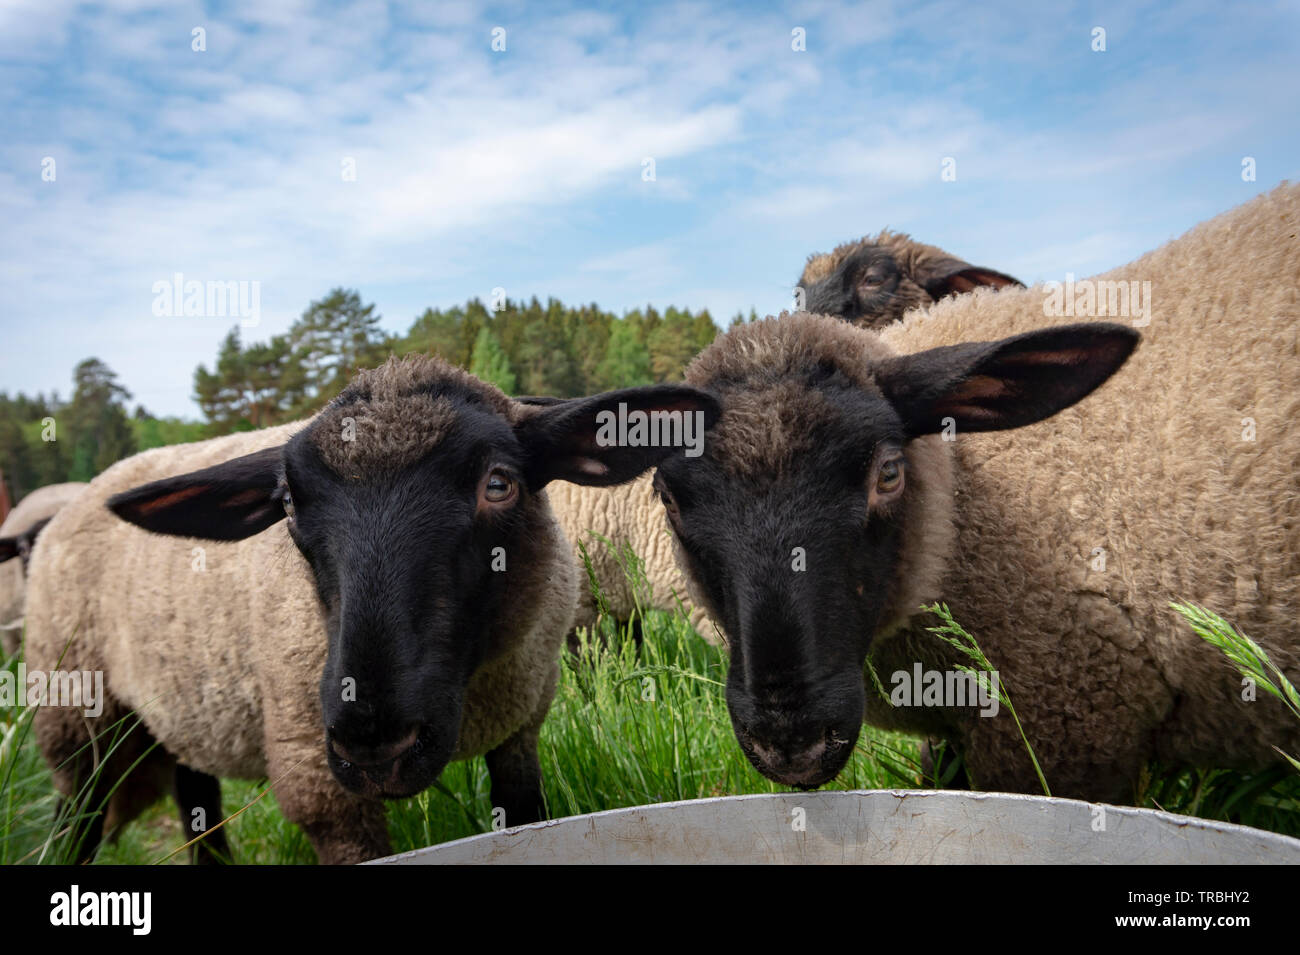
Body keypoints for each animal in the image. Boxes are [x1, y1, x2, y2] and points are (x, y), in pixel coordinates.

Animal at [24, 354, 718, 863]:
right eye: (287, 504)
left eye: (498, 484)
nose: (375, 741)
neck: (469, 695)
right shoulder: (319, 779)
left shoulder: (519, 728)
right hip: (76, 717)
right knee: (77, 818)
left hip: (177, 709)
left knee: (198, 800)